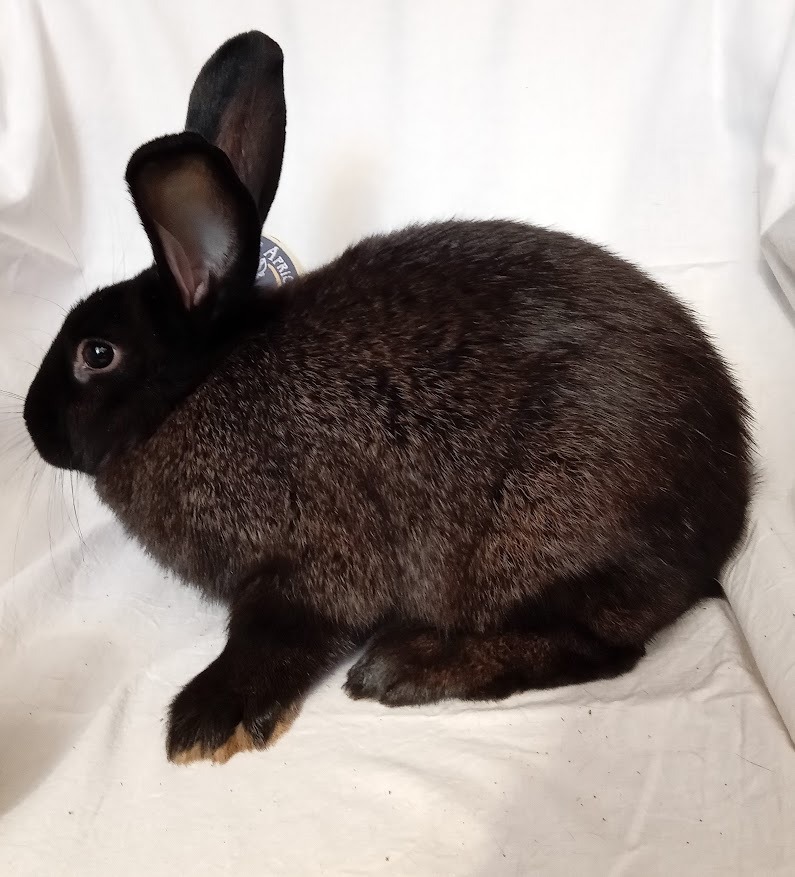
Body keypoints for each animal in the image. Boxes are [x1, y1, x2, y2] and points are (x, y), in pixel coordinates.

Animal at [23, 31, 751, 765]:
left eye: (96, 354)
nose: (33, 426)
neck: (196, 389)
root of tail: (727, 504)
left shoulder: (311, 561)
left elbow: (274, 638)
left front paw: (205, 723)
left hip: (546, 534)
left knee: (600, 647)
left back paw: (401, 668)